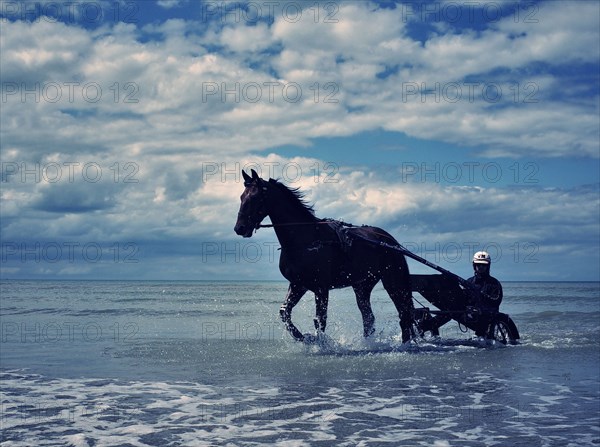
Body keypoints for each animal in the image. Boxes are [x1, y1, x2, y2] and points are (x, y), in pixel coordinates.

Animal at [234, 171, 418, 344]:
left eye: (255, 197)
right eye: (242, 196)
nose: (239, 228)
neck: (306, 239)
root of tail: (389, 240)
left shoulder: (321, 288)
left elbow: (320, 320)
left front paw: (321, 343)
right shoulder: (298, 284)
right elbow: (284, 312)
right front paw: (303, 338)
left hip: (393, 282)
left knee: (404, 315)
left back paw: (405, 344)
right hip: (362, 285)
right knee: (369, 318)